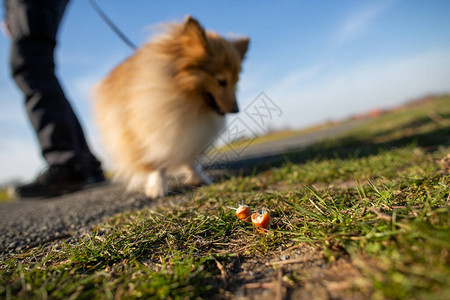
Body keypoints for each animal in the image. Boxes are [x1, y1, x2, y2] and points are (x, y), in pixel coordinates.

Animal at [93, 16, 250, 199]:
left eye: (236, 81)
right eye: (221, 81)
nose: (236, 109)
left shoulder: (190, 132)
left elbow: (190, 157)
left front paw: (198, 178)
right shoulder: (145, 131)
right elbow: (154, 162)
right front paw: (157, 187)